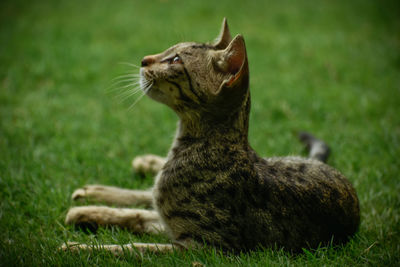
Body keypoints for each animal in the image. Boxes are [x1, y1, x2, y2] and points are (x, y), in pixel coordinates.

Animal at [61, 18, 360, 255]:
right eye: (169, 50)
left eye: (176, 60)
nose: (143, 59)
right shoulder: (173, 226)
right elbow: (133, 214)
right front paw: (89, 214)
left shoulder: (200, 246)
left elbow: (134, 245)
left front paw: (79, 247)